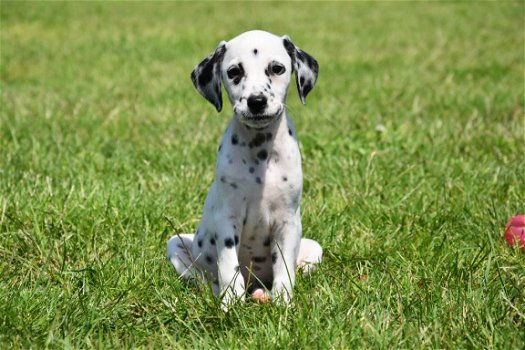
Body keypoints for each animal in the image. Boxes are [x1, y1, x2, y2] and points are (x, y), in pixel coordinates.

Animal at [168, 30, 322, 308]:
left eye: (277, 68)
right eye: (234, 72)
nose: (256, 101)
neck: (260, 154)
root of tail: (255, 284)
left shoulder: (288, 221)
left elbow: (284, 267)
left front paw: (284, 301)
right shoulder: (227, 219)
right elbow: (229, 264)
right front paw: (231, 301)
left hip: (313, 247)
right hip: (176, 245)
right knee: (201, 278)